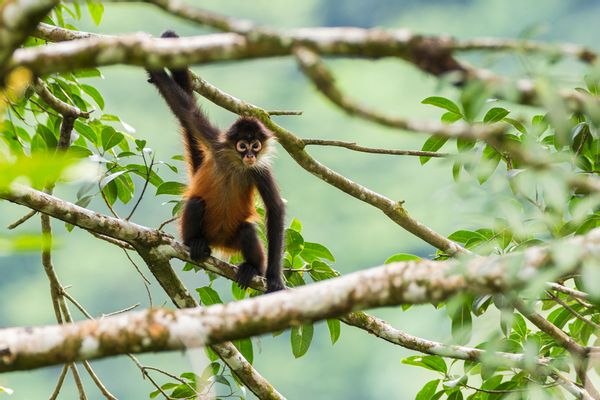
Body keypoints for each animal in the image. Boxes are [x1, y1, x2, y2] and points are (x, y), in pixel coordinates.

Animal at [146, 29, 284, 292]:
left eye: (256, 145)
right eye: (242, 145)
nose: (250, 155)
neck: (236, 164)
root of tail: (218, 241)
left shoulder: (260, 169)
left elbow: (275, 209)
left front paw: (274, 277)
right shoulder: (216, 143)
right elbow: (186, 111)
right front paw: (153, 69)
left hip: (234, 238)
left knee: (248, 229)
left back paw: (253, 268)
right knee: (195, 203)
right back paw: (195, 243)